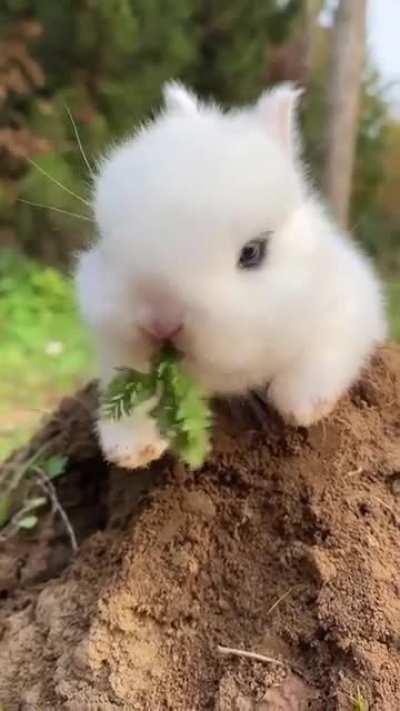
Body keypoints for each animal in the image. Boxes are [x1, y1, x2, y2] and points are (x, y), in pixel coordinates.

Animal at [76, 81, 386, 469]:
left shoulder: (349, 309)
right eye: (107, 240)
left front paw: (298, 407)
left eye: (252, 252)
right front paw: (130, 451)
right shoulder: (117, 348)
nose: (161, 322)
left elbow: (321, 357)